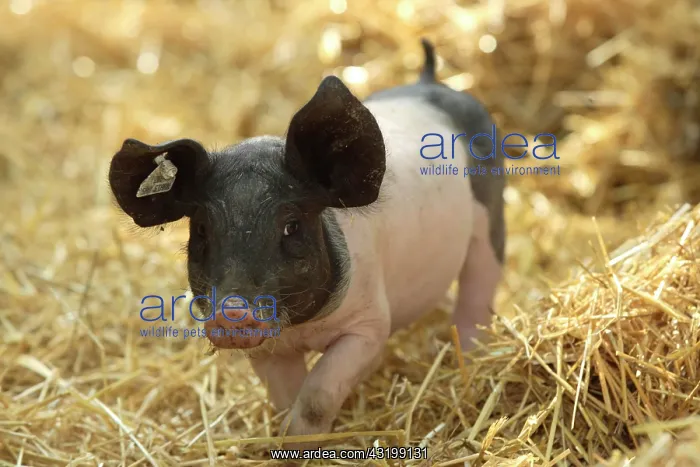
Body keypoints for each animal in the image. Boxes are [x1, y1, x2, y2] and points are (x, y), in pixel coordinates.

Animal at [108, 38, 505, 449]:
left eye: (291, 226)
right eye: (201, 230)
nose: (232, 312)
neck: (304, 329)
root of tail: (431, 82)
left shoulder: (369, 326)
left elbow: (318, 394)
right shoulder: (268, 348)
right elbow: (287, 399)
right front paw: (290, 443)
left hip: (491, 221)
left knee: (478, 292)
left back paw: (471, 357)